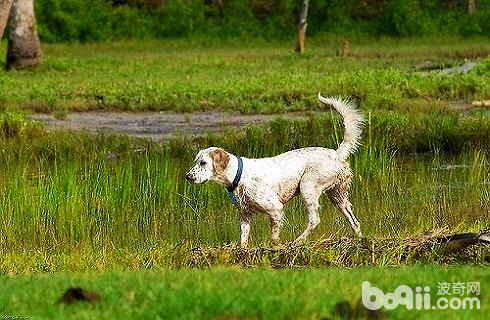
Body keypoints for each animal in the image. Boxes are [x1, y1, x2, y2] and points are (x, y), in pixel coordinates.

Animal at [186, 94, 366, 246]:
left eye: (203, 163)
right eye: (196, 161)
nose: (187, 176)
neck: (239, 175)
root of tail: (336, 153)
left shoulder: (275, 209)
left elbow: (273, 235)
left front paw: (276, 246)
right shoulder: (244, 215)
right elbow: (243, 240)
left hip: (308, 186)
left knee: (314, 220)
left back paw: (298, 241)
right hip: (338, 196)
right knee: (354, 221)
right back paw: (360, 239)